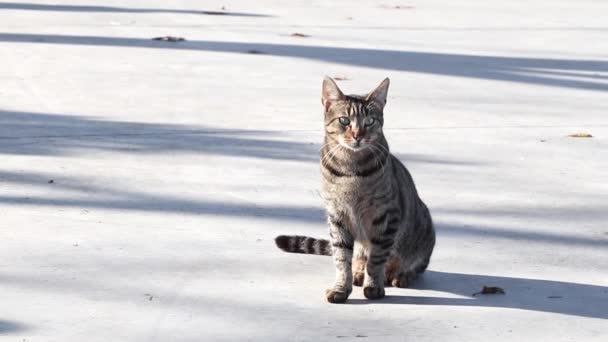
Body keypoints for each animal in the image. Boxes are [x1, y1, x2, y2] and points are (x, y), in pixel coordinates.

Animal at [274, 77, 434, 302]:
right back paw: (359, 272)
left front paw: (373, 286)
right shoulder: (337, 216)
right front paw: (342, 288)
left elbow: (377, 258)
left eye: (370, 121)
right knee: (358, 256)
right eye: (344, 121)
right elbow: (342, 258)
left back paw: (400, 275)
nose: (358, 135)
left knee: (413, 265)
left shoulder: (386, 217)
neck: (350, 170)